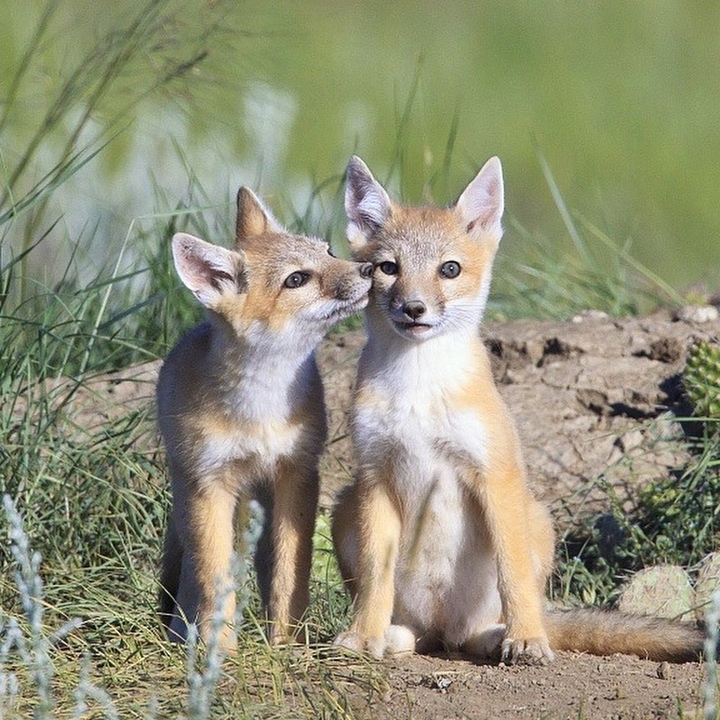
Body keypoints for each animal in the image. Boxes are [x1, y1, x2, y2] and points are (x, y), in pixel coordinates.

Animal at [157, 185, 372, 651]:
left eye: (328, 251)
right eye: (297, 279)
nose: (370, 267)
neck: (260, 410)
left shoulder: (298, 472)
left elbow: (291, 570)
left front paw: (287, 644)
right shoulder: (211, 483)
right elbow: (213, 575)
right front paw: (219, 650)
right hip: (196, 497)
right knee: (196, 566)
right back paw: (182, 629)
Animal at [331, 155, 705, 665]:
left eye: (449, 269)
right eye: (388, 268)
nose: (414, 308)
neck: (418, 391)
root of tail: (443, 628)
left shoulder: (494, 474)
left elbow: (514, 575)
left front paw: (526, 638)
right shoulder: (375, 476)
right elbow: (375, 577)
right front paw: (363, 635)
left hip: (537, 520)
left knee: (482, 628)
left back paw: (508, 636)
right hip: (345, 507)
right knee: (417, 634)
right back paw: (391, 637)